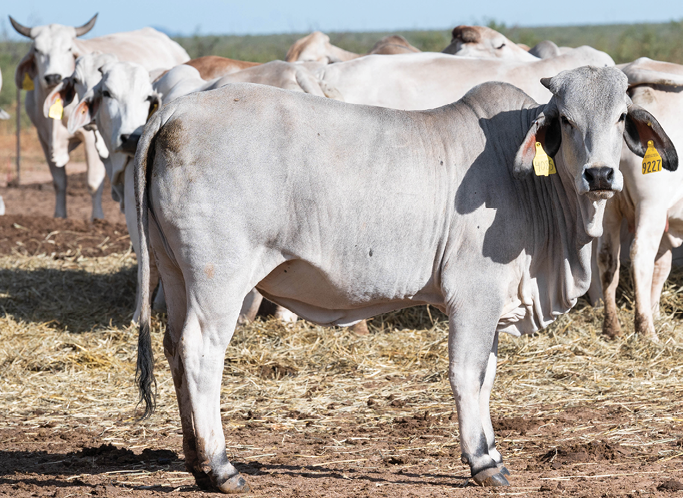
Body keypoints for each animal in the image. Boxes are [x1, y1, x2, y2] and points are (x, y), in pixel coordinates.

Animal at [12, 14, 190, 218]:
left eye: (68, 48)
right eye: (37, 49)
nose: (53, 77)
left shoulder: (91, 140)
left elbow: (93, 182)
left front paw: (97, 218)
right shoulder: (43, 138)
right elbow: (59, 181)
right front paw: (60, 216)